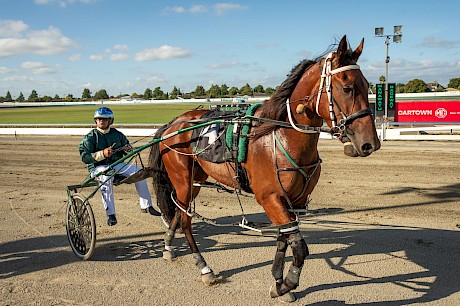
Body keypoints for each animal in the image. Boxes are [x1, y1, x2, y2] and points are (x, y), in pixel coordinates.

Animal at [148, 35, 380, 298]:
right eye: (347, 88)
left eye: (368, 84)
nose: (370, 143)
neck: (279, 135)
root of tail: (174, 123)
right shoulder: (269, 197)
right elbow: (299, 246)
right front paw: (288, 283)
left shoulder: (296, 201)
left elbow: (284, 239)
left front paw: (278, 281)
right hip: (182, 179)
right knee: (186, 220)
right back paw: (204, 268)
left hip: (197, 179)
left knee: (179, 212)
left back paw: (168, 247)